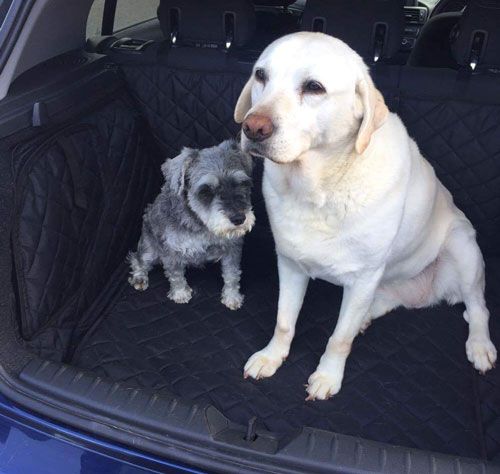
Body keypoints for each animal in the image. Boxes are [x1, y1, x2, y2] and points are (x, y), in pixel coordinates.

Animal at [128, 140, 254, 312]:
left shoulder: (232, 248)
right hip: (150, 250)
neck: (202, 225)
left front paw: (232, 297)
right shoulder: (171, 251)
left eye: (242, 183)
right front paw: (180, 293)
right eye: (206, 191)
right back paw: (139, 277)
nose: (239, 219)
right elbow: (176, 275)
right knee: (138, 260)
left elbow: (232, 274)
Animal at [235, 31, 496, 400]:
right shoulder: (290, 263)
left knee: (477, 308)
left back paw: (480, 346)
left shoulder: (363, 277)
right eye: (261, 76)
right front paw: (272, 356)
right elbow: (284, 322)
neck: (319, 188)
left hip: (462, 247)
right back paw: (366, 317)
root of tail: (424, 296)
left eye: (314, 87)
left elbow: (338, 339)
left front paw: (328, 376)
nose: (253, 127)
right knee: (383, 301)